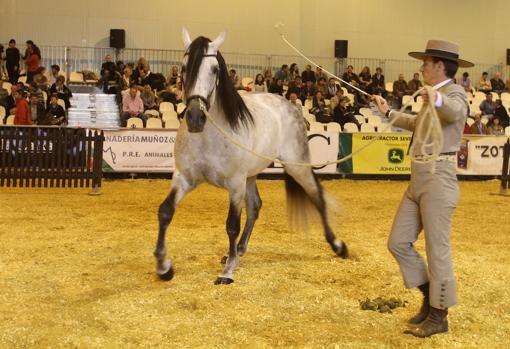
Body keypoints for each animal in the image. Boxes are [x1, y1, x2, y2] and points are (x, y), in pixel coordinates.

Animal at [153, 28, 348, 284]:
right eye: (184, 67)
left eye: (214, 70)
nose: (195, 117)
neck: (210, 136)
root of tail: (290, 105)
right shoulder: (184, 177)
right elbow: (165, 211)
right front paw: (164, 266)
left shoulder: (235, 183)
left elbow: (231, 225)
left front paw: (227, 272)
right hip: (251, 175)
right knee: (255, 206)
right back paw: (238, 251)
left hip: (296, 166)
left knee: (317, 196)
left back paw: (338, 246)